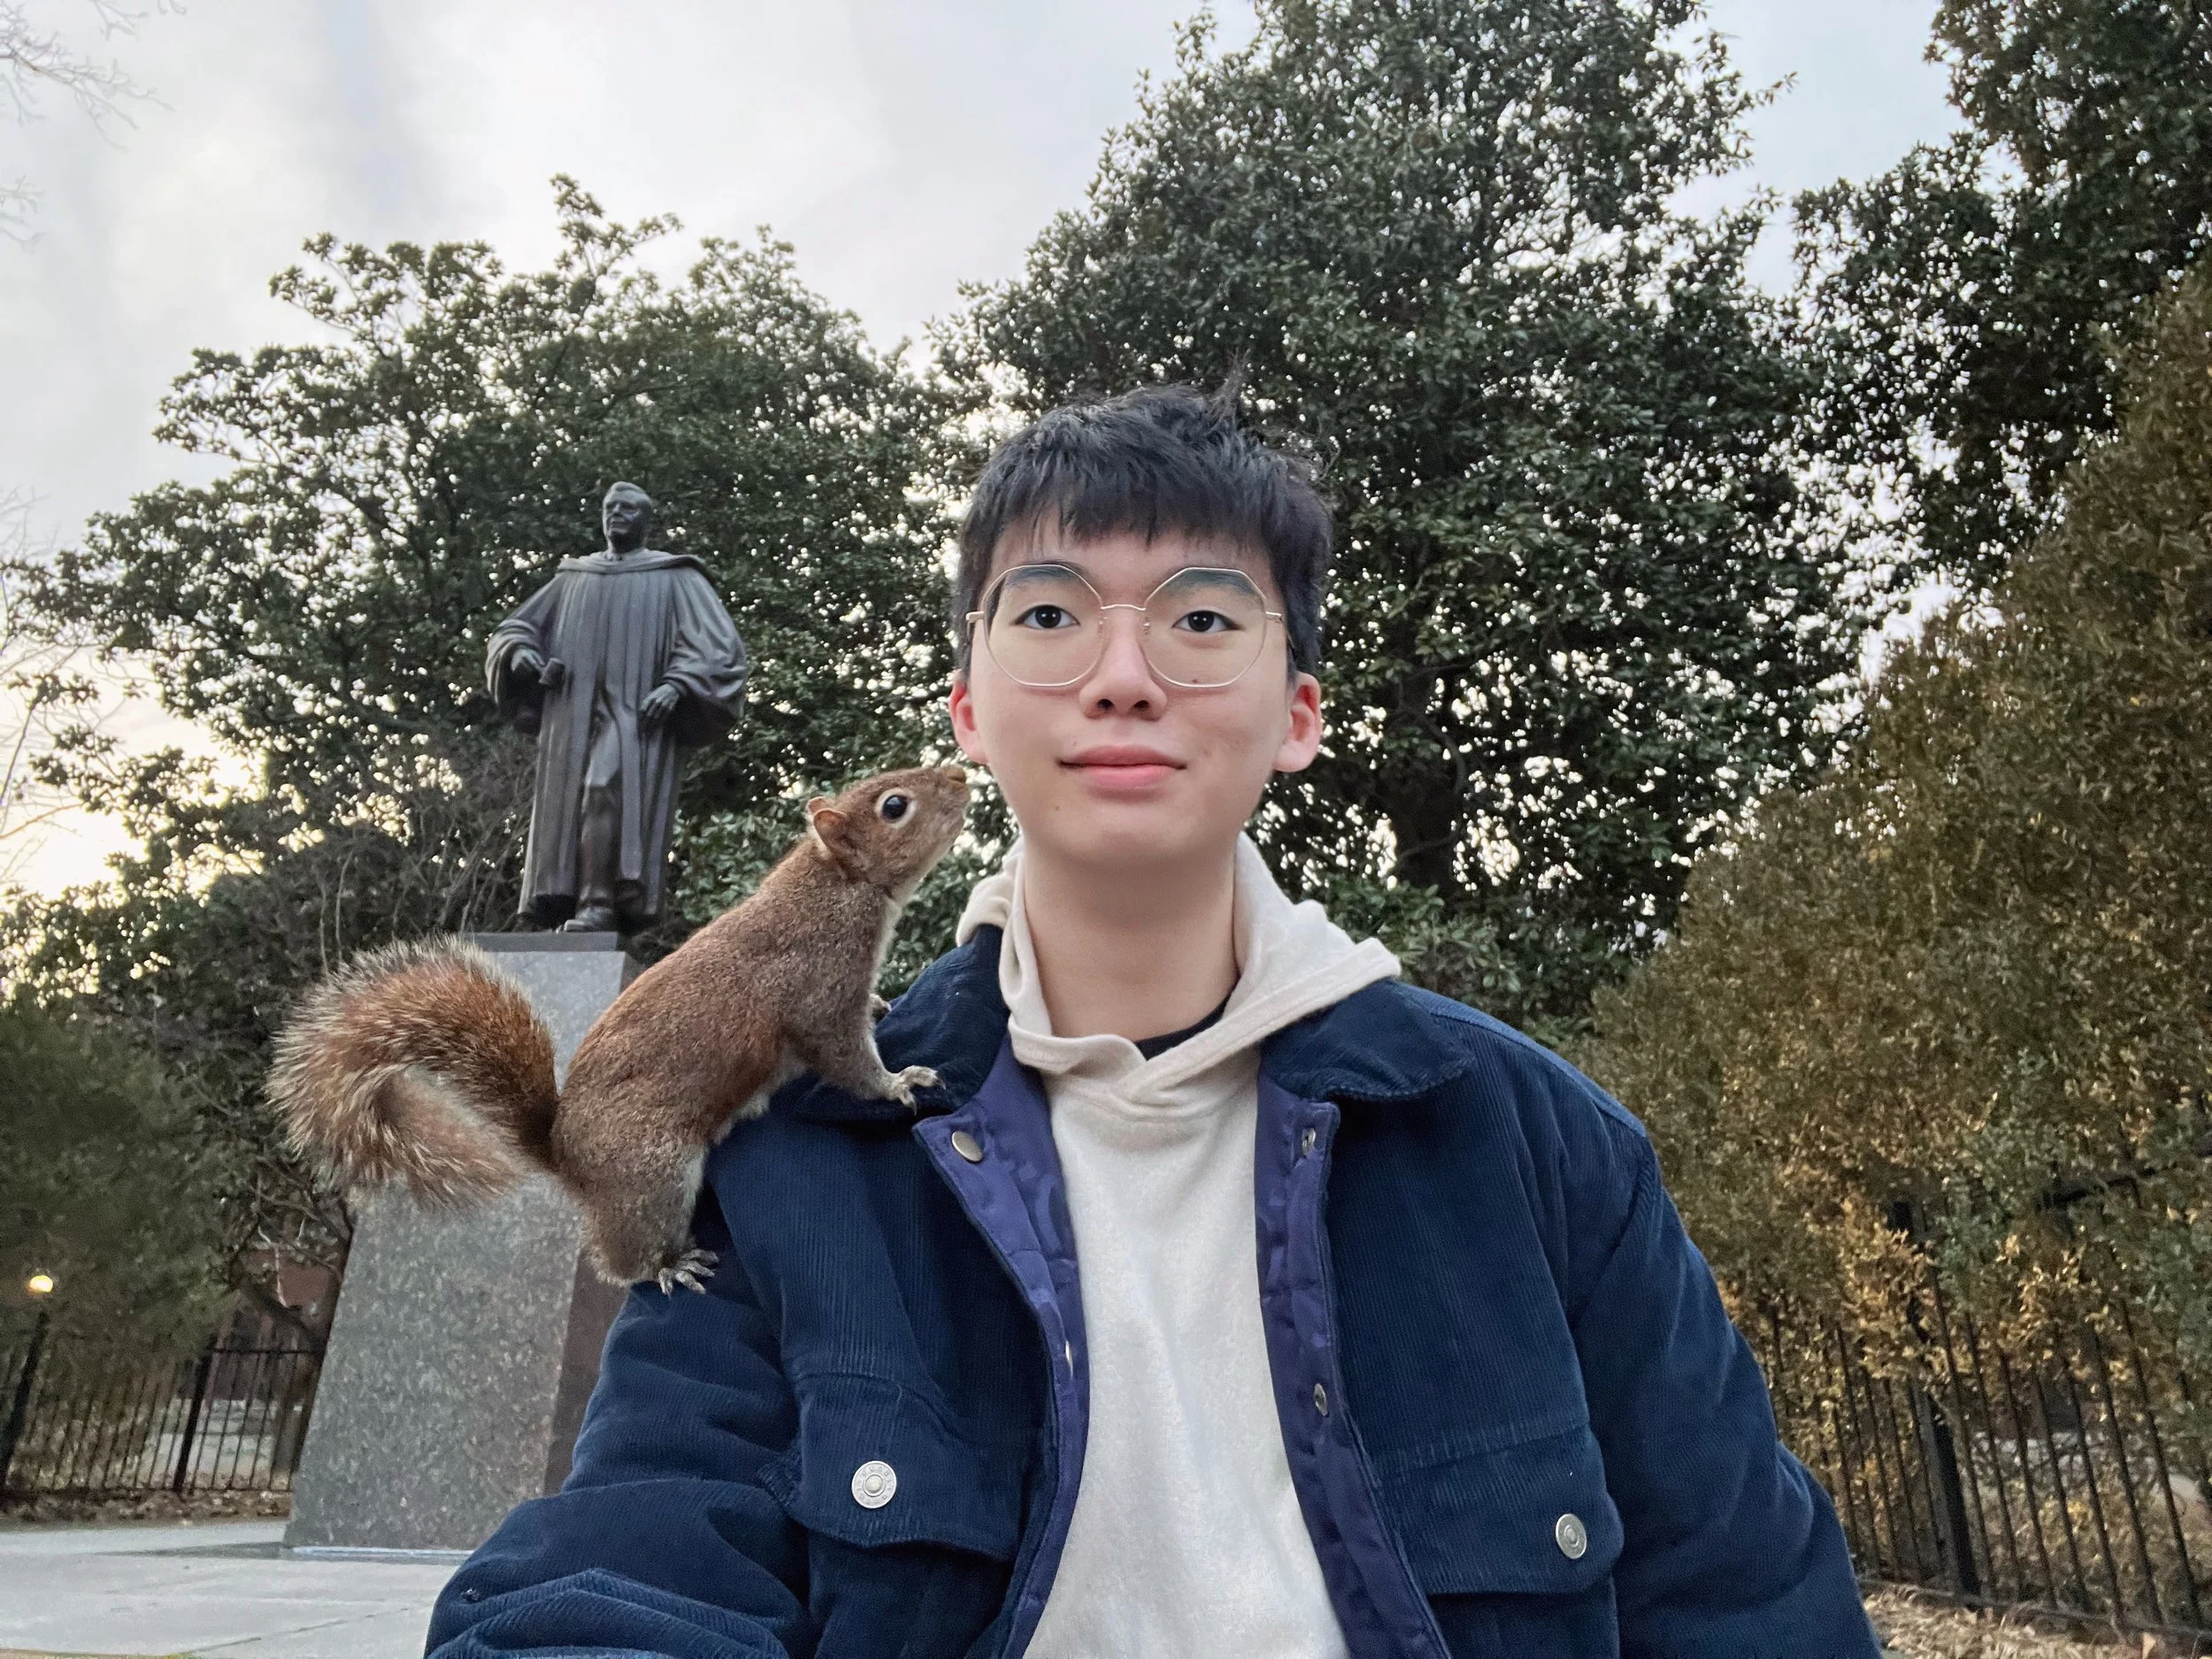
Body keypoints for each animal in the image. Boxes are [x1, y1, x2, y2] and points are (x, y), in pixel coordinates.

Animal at [269, 764, 970, 1292]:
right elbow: (846, 1057)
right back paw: (667, 1266)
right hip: (653, 1174)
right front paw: (898, 1082)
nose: (961, 775)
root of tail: (565, 1156)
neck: (837, 882)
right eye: (895, 806)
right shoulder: (818, 988)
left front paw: (880, 1007)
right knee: (621, 1260)